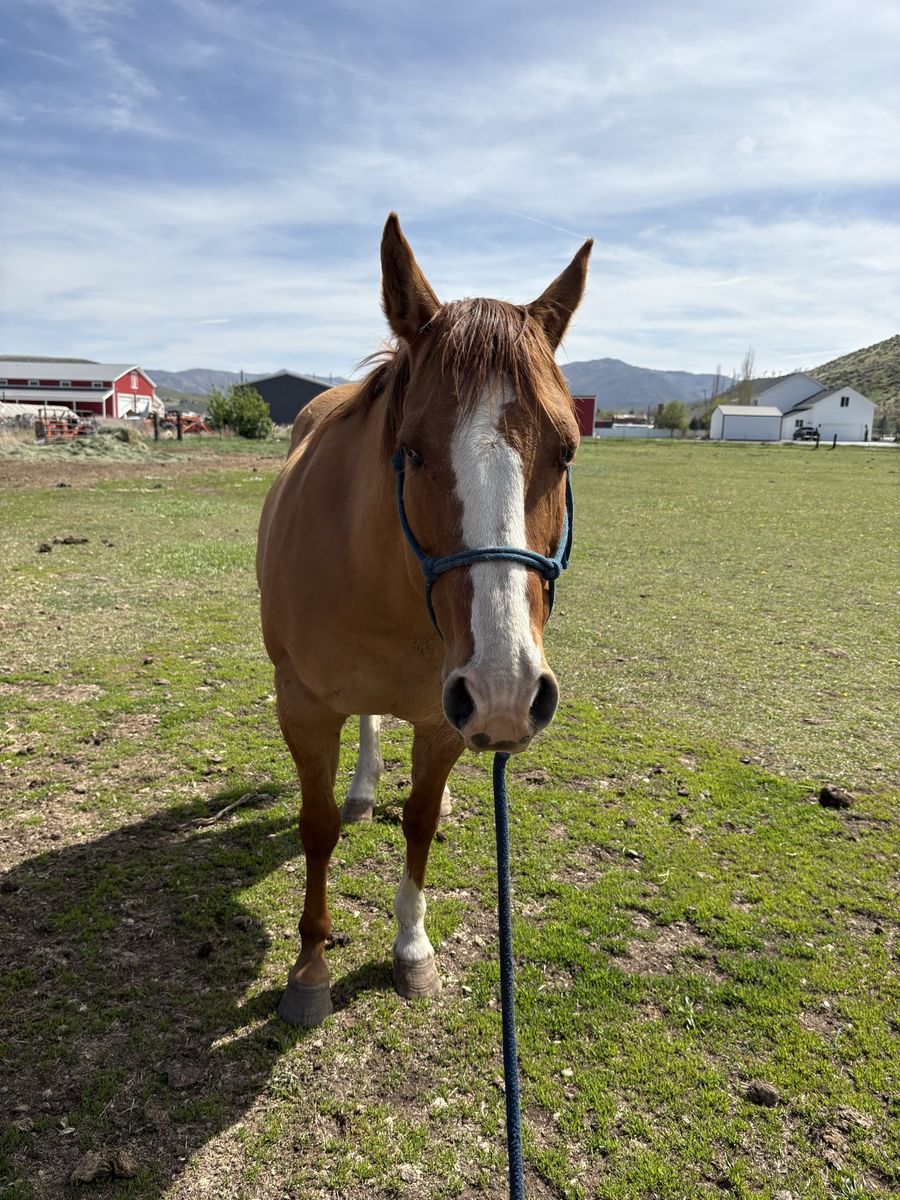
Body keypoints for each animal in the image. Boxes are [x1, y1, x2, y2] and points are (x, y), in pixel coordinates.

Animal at [257, 214, 592, 1025]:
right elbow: (316, 829)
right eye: (409, 451)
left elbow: (421, 821)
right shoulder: (303, 708)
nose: (507, 691)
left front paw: (412, 948)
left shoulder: (445, 721)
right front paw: (310, 969)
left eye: (566, 452)